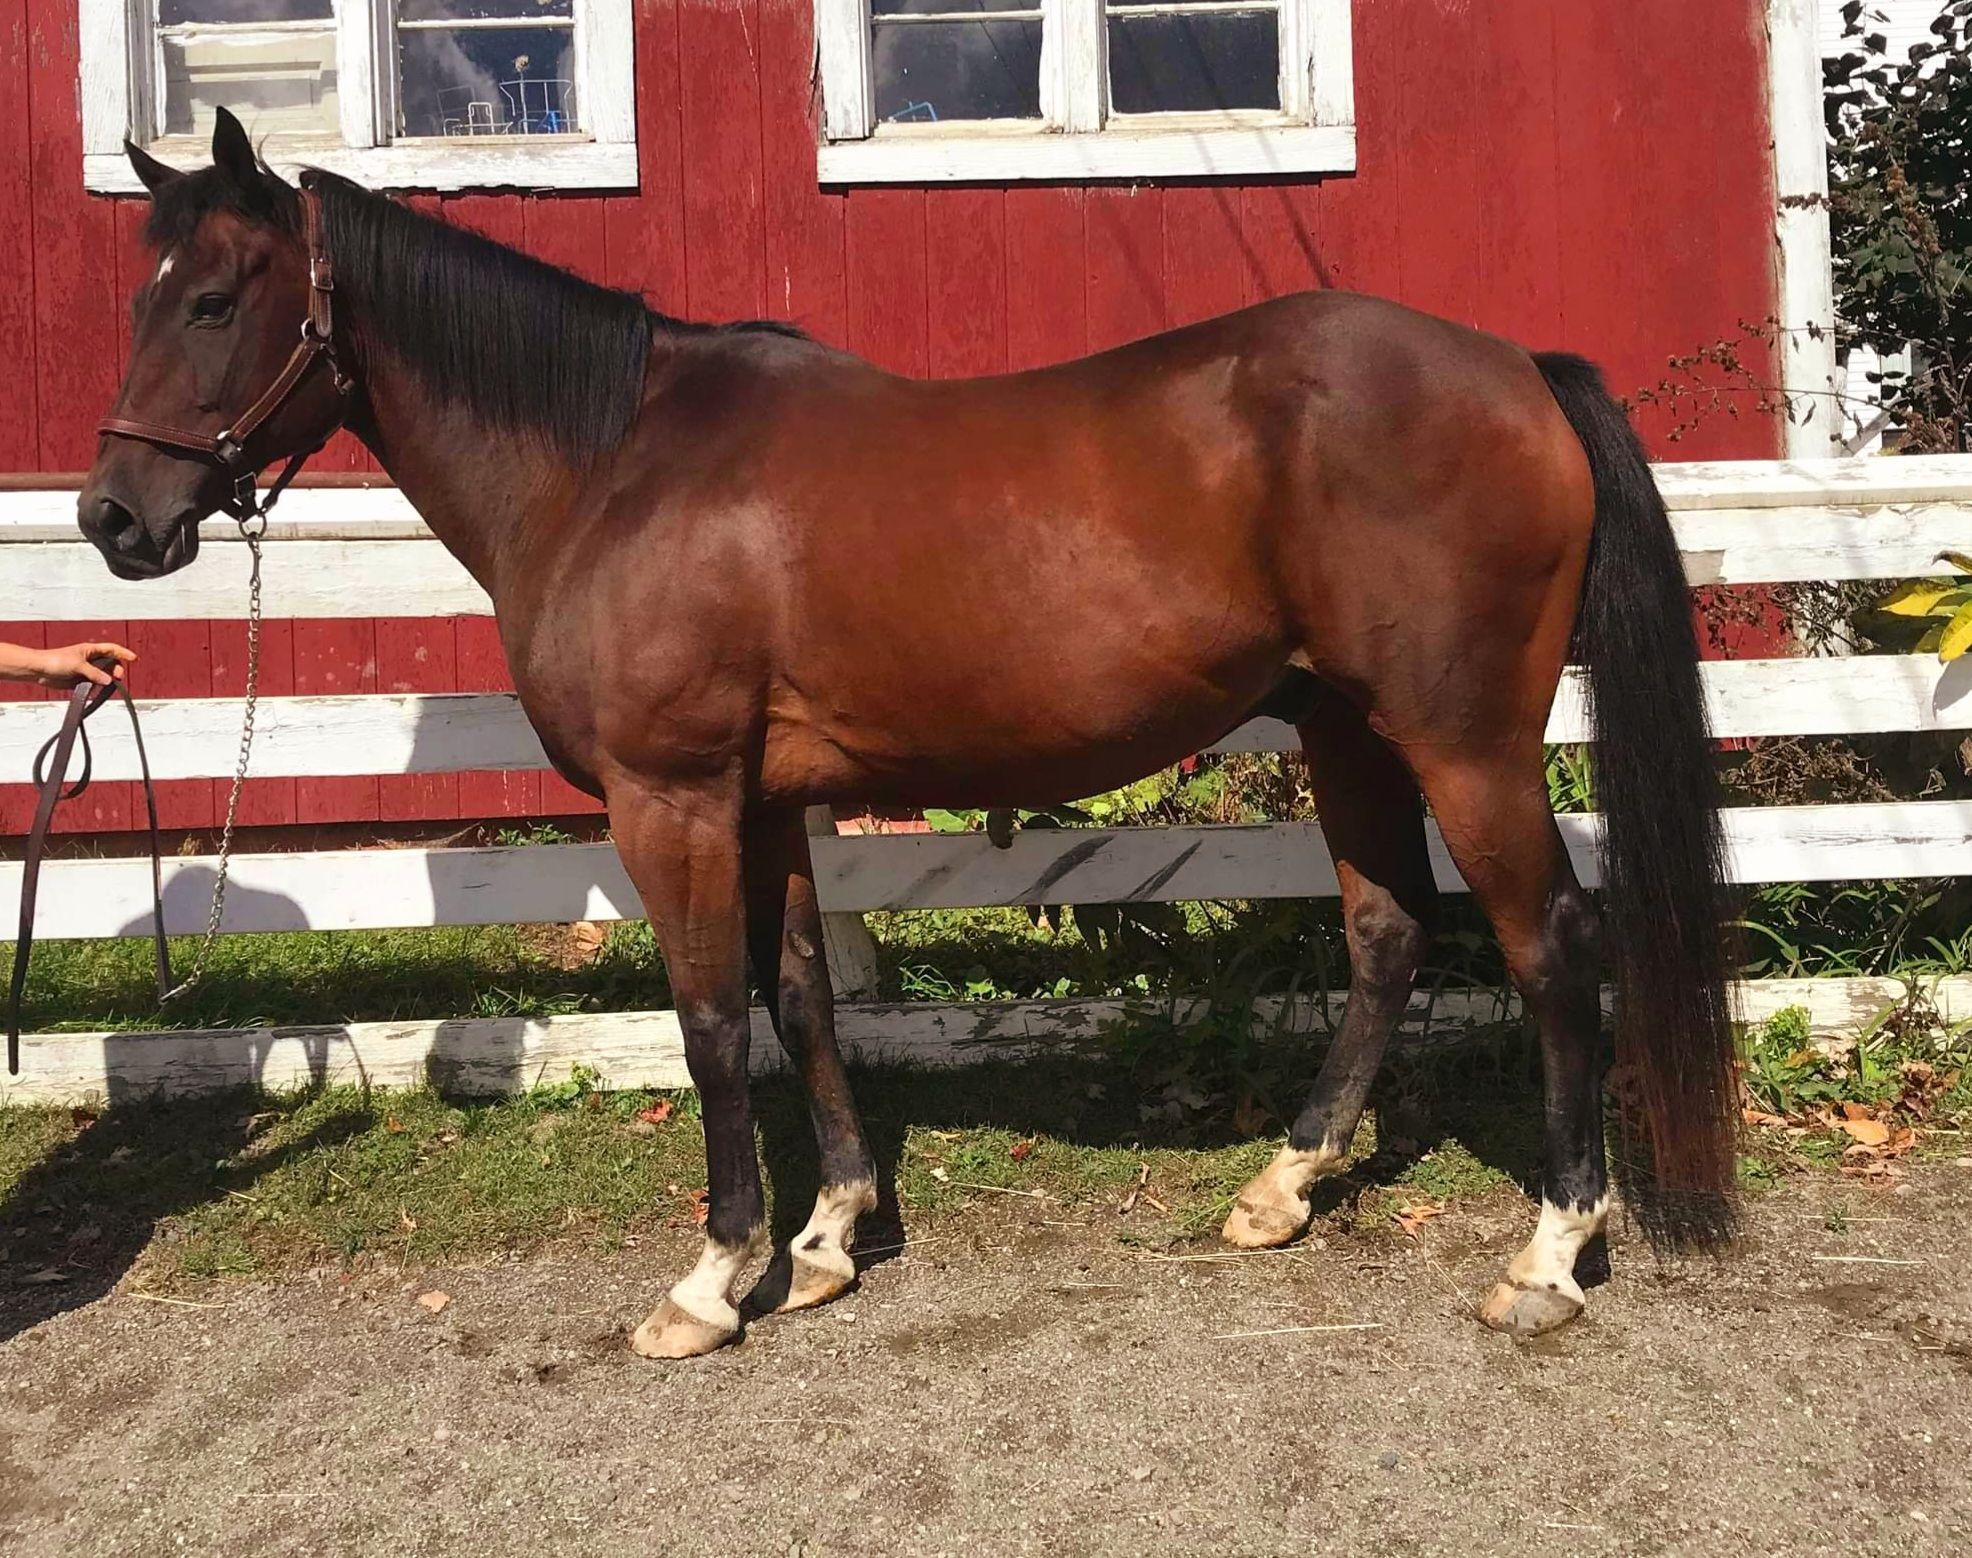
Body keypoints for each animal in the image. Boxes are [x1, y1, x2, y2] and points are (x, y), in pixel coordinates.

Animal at [78, 110, 1736, 1359]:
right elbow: (802, 996)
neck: (616, 461)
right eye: (138, 295)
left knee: (1550, 945)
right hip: (1349, 731)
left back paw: (1547, 1253)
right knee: (1388, 934)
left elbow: (707, 1016)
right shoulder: (761, 800)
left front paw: (712, 1278)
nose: (114, 520)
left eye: (213, 300)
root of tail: (1516, 369)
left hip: (1466, 740)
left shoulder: (673, 796)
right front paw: (825, 1236)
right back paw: (1282, 1186)